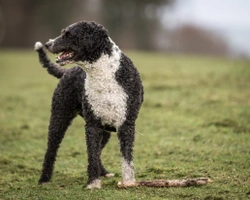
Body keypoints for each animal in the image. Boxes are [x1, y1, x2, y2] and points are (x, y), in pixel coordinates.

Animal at [35, 20, 145, 189]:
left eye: (68, 34)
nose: (48, 44)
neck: (104, 74)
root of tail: (66, 72)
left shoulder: (126, 124)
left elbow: (126, 158)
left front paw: (128, 182)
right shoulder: (92, 125)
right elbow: (92, 154)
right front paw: (93, 183)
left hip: (105, 130)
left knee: (99, 151)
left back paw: (104, 172)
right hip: (59, 118)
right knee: (51, 151)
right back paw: (44, 179)